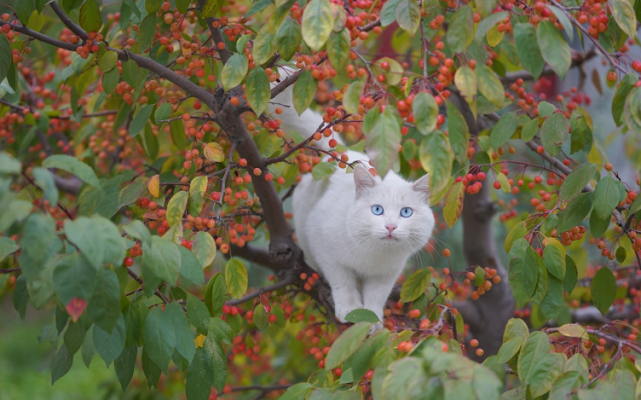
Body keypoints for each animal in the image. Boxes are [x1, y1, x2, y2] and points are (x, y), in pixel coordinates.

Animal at [268, 73, 432, 326]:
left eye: (406, 212)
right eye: (377, 210)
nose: (391, 226)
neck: (373, 256)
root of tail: (342, 155)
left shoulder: (387, 274)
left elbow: (376, 296)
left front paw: (372, 320)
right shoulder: (326, 249)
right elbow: (343, 283)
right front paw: (350, 309)